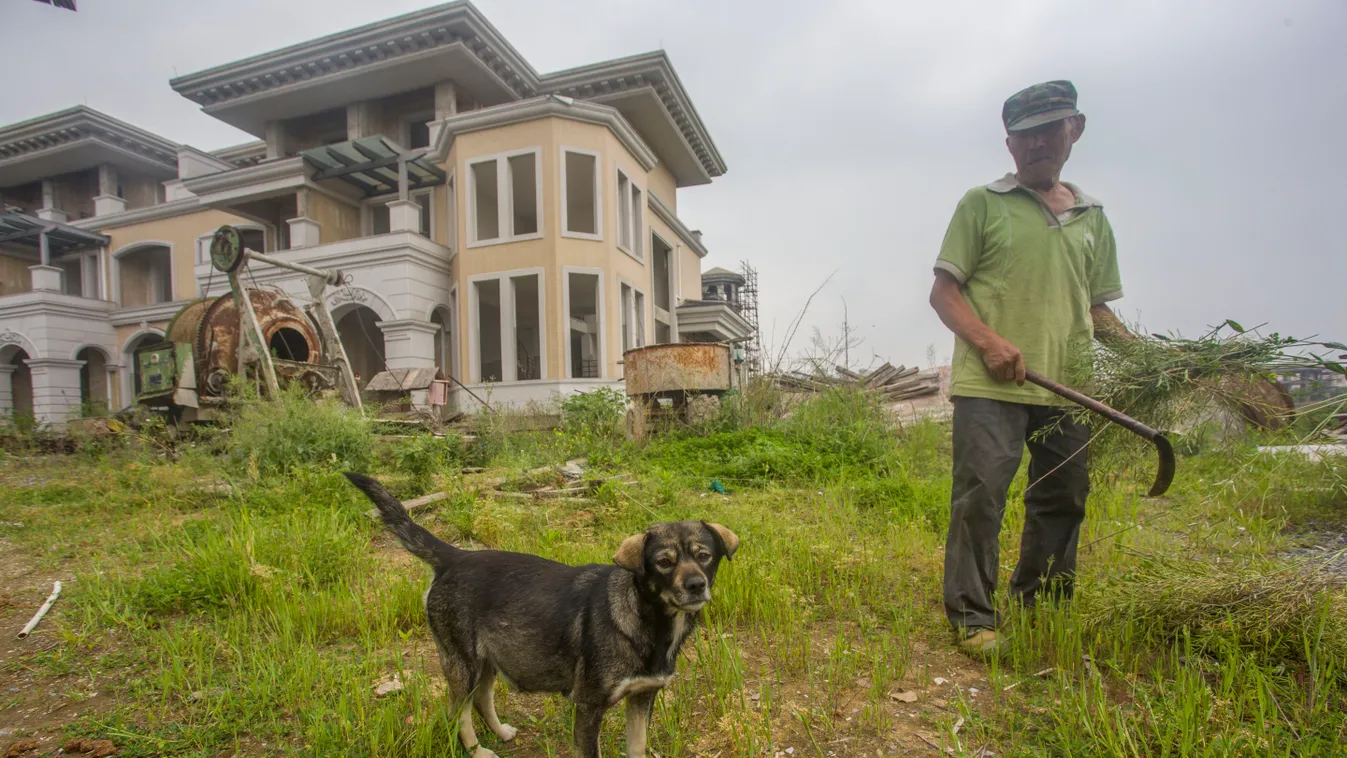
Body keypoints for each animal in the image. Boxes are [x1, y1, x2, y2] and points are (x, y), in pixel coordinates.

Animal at [339, 471, 738, 753]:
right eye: (664, 563)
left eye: (704, 556)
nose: (696, 585)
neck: (647, 621)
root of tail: (455, 557)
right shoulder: (588, 708)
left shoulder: (642, 698)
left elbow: (637, 748)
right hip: (463, 665)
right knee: (458, 711)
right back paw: (477, 750)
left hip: (489, 659)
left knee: (481, 699)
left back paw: (500, 733)